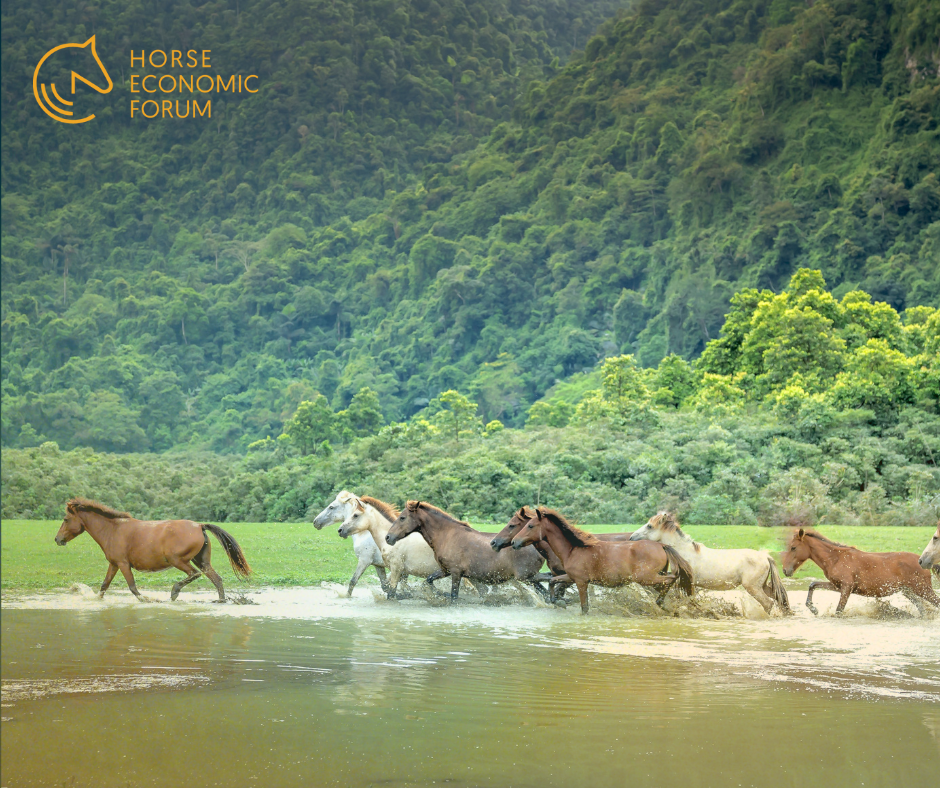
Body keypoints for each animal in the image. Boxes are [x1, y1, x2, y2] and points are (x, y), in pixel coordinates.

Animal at [54, 498, 251, 602]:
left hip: (178, 560)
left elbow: (133, 588)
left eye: (65, 519)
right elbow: (104, 586)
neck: (113, 529)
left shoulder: (123, 564)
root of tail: (199, 525)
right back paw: (220, 600)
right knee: (216, 579)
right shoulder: (114, 564)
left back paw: (174, 592)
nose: (57, 539)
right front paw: (96, 600)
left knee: (194, 574)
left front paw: (148, 600)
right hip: (201, 561)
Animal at [385, 501, 548, 602]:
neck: (447, 535)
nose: (388, 537)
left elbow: (454, 596)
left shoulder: (456, 572)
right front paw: (439, 594)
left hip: (526, 578)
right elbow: (429, 581)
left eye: (402, 517)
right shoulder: (445, 570)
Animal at [511, 508, 693, 614]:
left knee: (672, 579)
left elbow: (584, 607)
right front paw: (559, 601)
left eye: (530, 526)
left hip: (646, 578)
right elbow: (552, 582)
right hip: (653, 578)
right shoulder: (571, 577)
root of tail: (661, 545)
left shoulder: (581, 582)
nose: (514, 542)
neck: (573, 549)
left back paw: (662, 603)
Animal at [629, 512, 790, 615]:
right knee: (779, 599)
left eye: (649, 526)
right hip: (762, 586)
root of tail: (766, 557)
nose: (631, 537)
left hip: (753, 588)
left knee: (768, 603)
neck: (684, 552)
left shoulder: (687, 583)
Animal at [782, 527, 940, 616]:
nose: (785, 570)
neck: (836, 558)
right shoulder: (837, 586)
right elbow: (813, 584)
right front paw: (813, 609)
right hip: (909, 592)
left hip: (923, 589)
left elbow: (839, 611)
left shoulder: (846, 588)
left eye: (793, 548)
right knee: (923, 611)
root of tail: (923, 561)